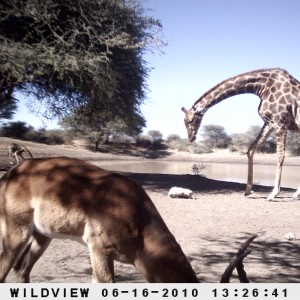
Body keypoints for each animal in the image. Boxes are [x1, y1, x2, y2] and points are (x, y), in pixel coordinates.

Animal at [182, 67, 300, 200]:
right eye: (183, 121)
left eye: (190, 120)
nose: (191, 138)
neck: (262, 86)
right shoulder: (269, 123)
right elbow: (250, 150)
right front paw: (248, 190)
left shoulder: (280, 122)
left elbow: (280, 156)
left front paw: (273, 193)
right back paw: (296, 194)